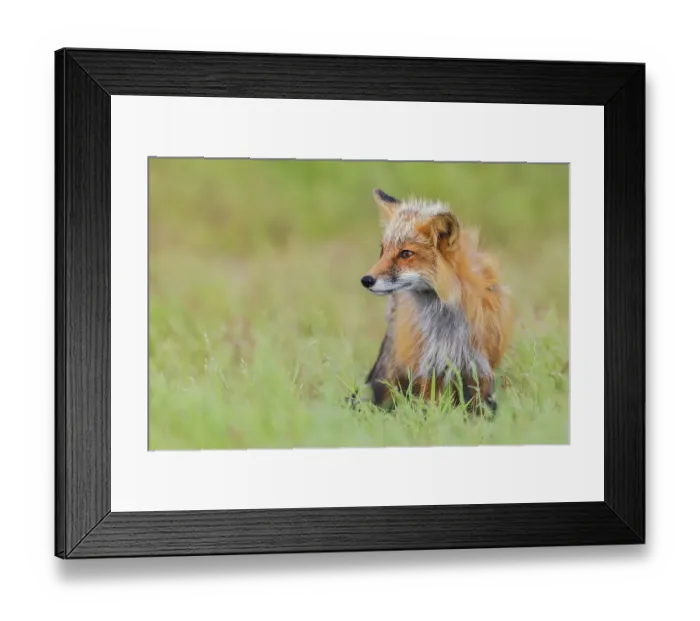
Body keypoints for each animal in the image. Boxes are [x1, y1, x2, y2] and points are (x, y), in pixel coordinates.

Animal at [358, 188, 513, 412]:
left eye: (406, 253)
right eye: (383, 250)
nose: (366, 280)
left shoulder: (480, 368)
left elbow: (478, 411)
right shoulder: (429, 367)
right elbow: (431, 409)